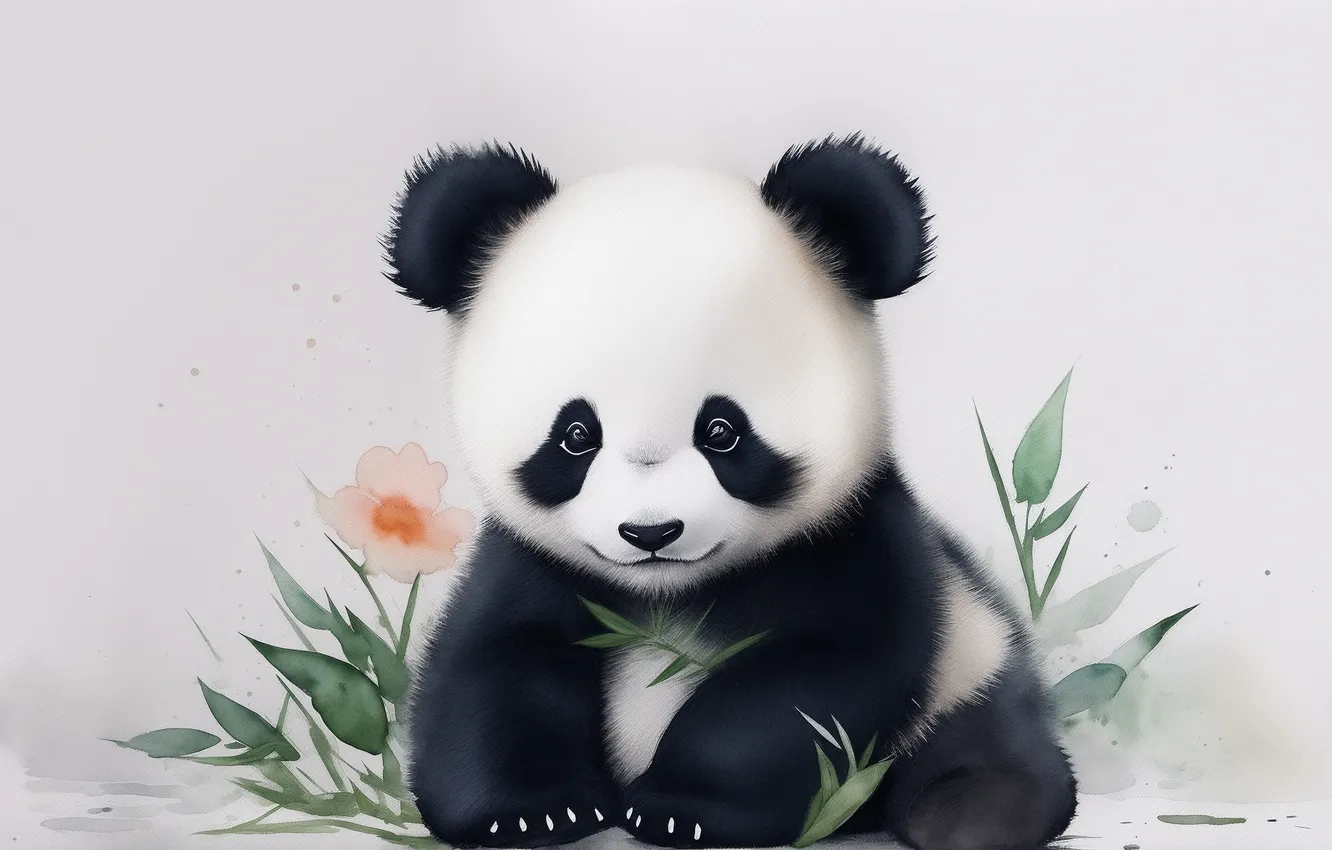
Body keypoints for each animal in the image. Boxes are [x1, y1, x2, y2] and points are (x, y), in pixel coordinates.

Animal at [384, 135, 1078, 850]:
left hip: (971, 668)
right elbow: (497, 665)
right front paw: (533, 811)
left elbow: (811, 684)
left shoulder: (854, 541)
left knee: (983, 741)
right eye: (576, 435)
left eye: (721, 430)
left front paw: (680, 809)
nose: (651, 533)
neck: (667, 595)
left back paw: (976, 811)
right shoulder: (535, 565)